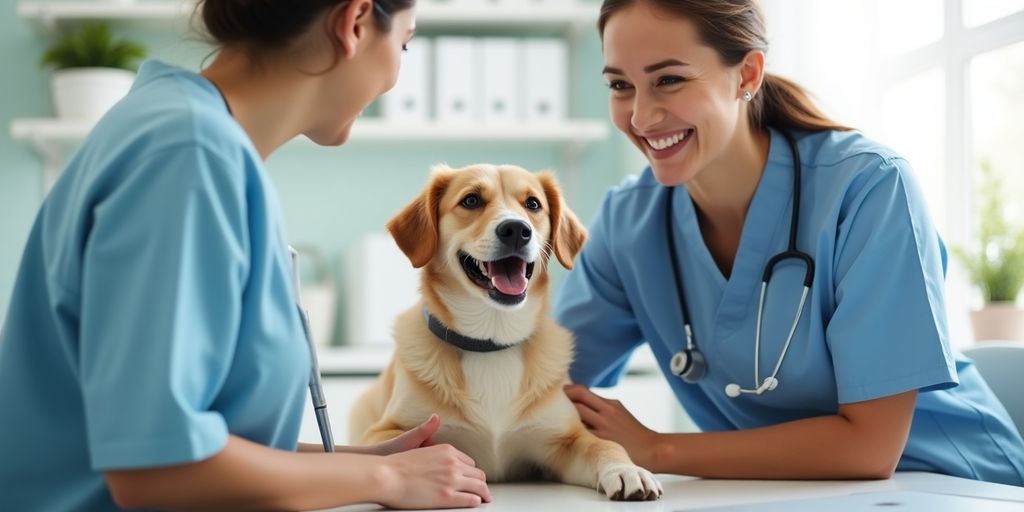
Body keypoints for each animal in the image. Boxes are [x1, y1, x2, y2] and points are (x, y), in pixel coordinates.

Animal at [348, 163, 659, 499]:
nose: (516, 230)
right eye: (471, 200)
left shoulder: (565, 440)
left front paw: (626, 470)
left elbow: (606, 445)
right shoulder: (385, 432)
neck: (491, 340)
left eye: (533, 204)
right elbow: (400, 451)